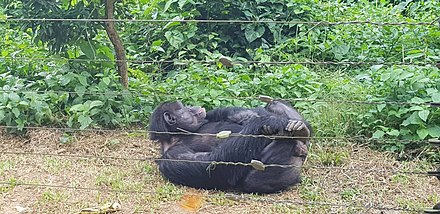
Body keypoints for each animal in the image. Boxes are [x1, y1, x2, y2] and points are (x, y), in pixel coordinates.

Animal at [150, 99, 312, 193]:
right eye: (183, 108)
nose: (191, 106)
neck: (180, 135)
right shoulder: (174, 155)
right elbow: (212, 163)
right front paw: (268, 121)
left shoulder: (210, 115)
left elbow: (236, 114)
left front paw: (270, 121)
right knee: (251, 182)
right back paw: (297, 143)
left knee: (274, 103)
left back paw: (302, 132)